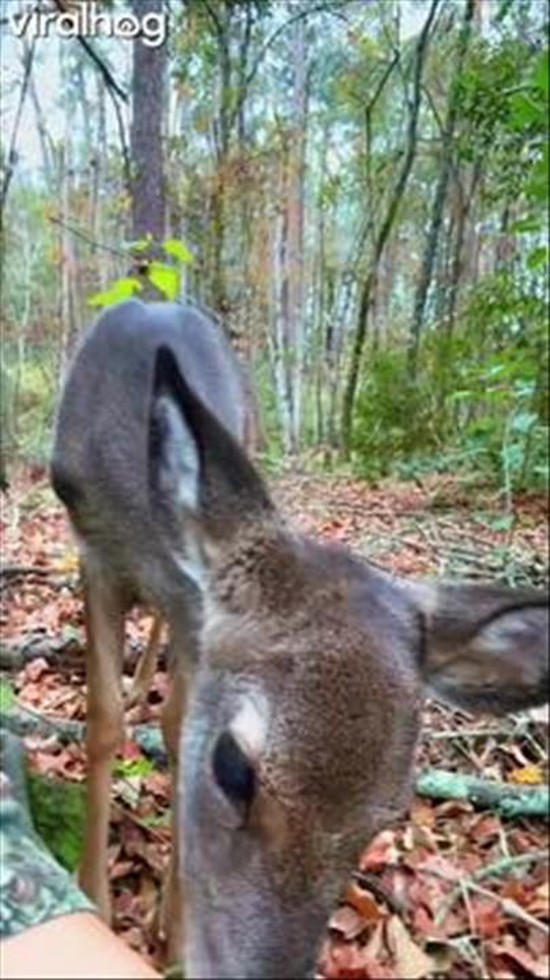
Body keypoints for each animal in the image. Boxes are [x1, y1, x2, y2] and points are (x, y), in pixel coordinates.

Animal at [51, 298, 548, 980]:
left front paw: (169, 932)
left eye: (390, 812)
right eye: (233, 768)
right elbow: (103, 723)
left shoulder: (194, 607)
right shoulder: (94, 556)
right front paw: (96, 902)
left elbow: (177, 726)